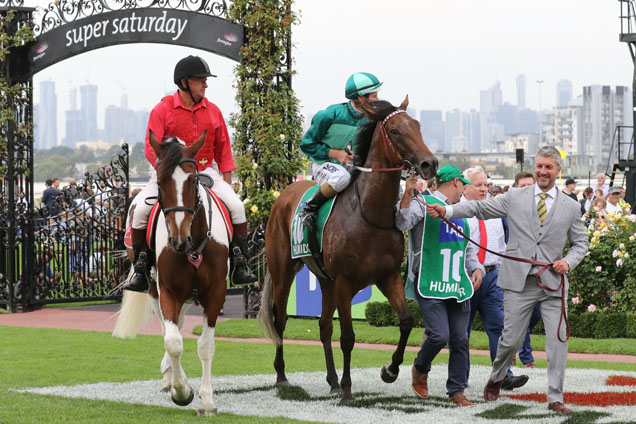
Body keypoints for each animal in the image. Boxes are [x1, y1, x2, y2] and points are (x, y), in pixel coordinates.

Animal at [113, 131, 229, 416]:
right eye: (161, 181)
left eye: (193, 180)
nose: (178, 239)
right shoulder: (167, 291)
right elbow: (174, 341)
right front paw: (182, 390)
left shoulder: (215, 294)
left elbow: (206, 346)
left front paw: (207, 401)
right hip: (155, 291)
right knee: (170, 330)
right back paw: (170, 378)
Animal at [260, 97, 440, 402]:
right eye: (395, 131)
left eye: (417, 125)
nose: (429, 163)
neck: (369, 212)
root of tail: (284, 194)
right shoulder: (345, 282)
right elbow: (348, 337)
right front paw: (347, 390)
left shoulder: (388, 276)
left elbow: (405, 321)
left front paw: (390, 370)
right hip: (284, 271)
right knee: (280, 319)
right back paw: (282, 376)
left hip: (326, 280)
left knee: (323, 326)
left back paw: (331, 380)